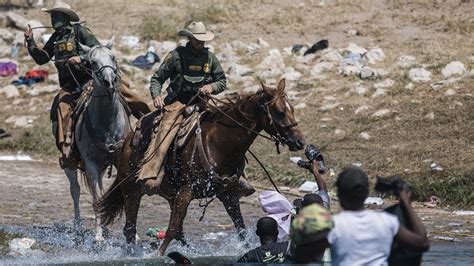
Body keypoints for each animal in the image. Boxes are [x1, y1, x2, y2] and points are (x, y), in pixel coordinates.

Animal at [61, 39, 131, 241]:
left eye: (113, 57)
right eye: (92, 62)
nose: (109, 82)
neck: (107, 123)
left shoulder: (119, 160)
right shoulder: (90, 164)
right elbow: (96, 198)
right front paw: (98, 235)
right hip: (70, 164)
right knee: (75, 191)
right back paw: (79, 228)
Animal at [98, 78, 306, 255]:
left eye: (292, 110)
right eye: (279, 111)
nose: (300, 142)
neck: (218, 144)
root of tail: (126, 142)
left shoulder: (228, 194)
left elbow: (241, 228)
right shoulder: (186, 191)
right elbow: (171, 229)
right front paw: (159, 255)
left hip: (169, 193)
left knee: (178, 231)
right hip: (131, 191)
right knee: (130, 228)